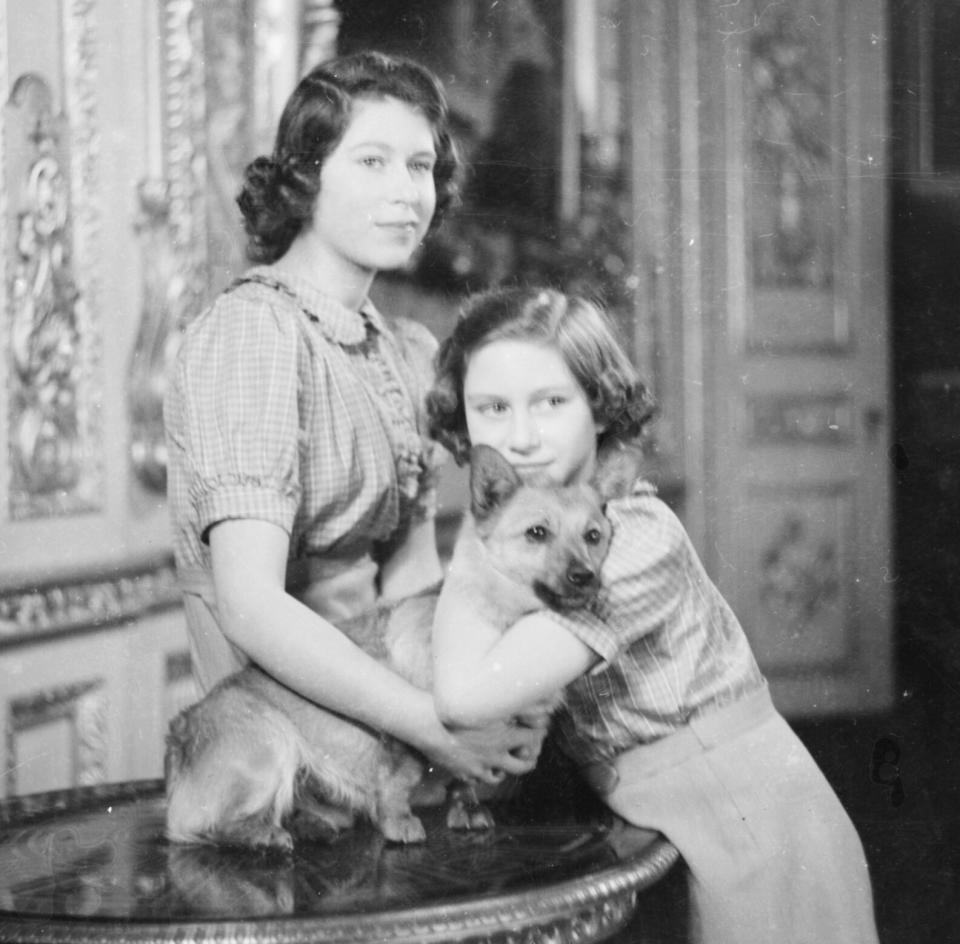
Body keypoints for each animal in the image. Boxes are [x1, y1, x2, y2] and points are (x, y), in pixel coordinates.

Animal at [163, 446, 636, 852]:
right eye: (537, 533)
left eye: (594, 536)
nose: (585, 577)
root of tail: (180, 728)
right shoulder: (410, 733)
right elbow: (402, 777)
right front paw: (398, 822)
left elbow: (464, 782)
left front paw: (466, 809)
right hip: (273, 743)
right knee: (195, 828)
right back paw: (263, 835)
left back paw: (310, 822)